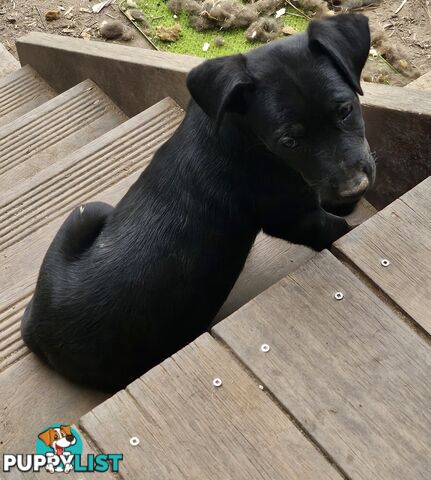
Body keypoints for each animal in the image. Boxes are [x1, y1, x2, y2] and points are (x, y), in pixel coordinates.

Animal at [22, 14, 376, 390]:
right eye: (289, 141)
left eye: (345, 110)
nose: (354, 188)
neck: (241, 133)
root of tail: (36, 332)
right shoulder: (292, 216)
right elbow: (333, 228)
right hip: (88, 210)